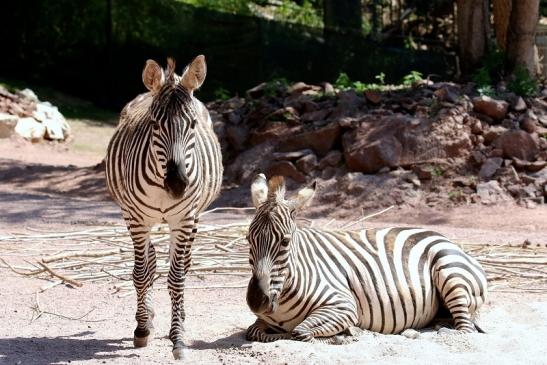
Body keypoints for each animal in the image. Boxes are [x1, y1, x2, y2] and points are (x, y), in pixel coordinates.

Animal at [105, 55, 223, 356]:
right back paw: (147, 316)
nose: (177, 185)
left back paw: (179, 316)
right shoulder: (136, 219)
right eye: (155, 124)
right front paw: (142, 328)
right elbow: (140, 273)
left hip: (192, 219)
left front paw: (177, 336)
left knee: (182, 265)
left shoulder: (184, 220)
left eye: (192, 125)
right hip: (134, 216)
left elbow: (177, 277)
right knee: (150, 262)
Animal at [245, 175, 488, 342]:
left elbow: (299, 331)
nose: (256, 302)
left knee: (464, 328)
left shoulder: (343, 305)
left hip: (450, 271)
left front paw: (347, 332)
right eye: (248, 239)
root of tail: (442, 237)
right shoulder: (261, 322)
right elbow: (255, 331)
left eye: (285, 242)